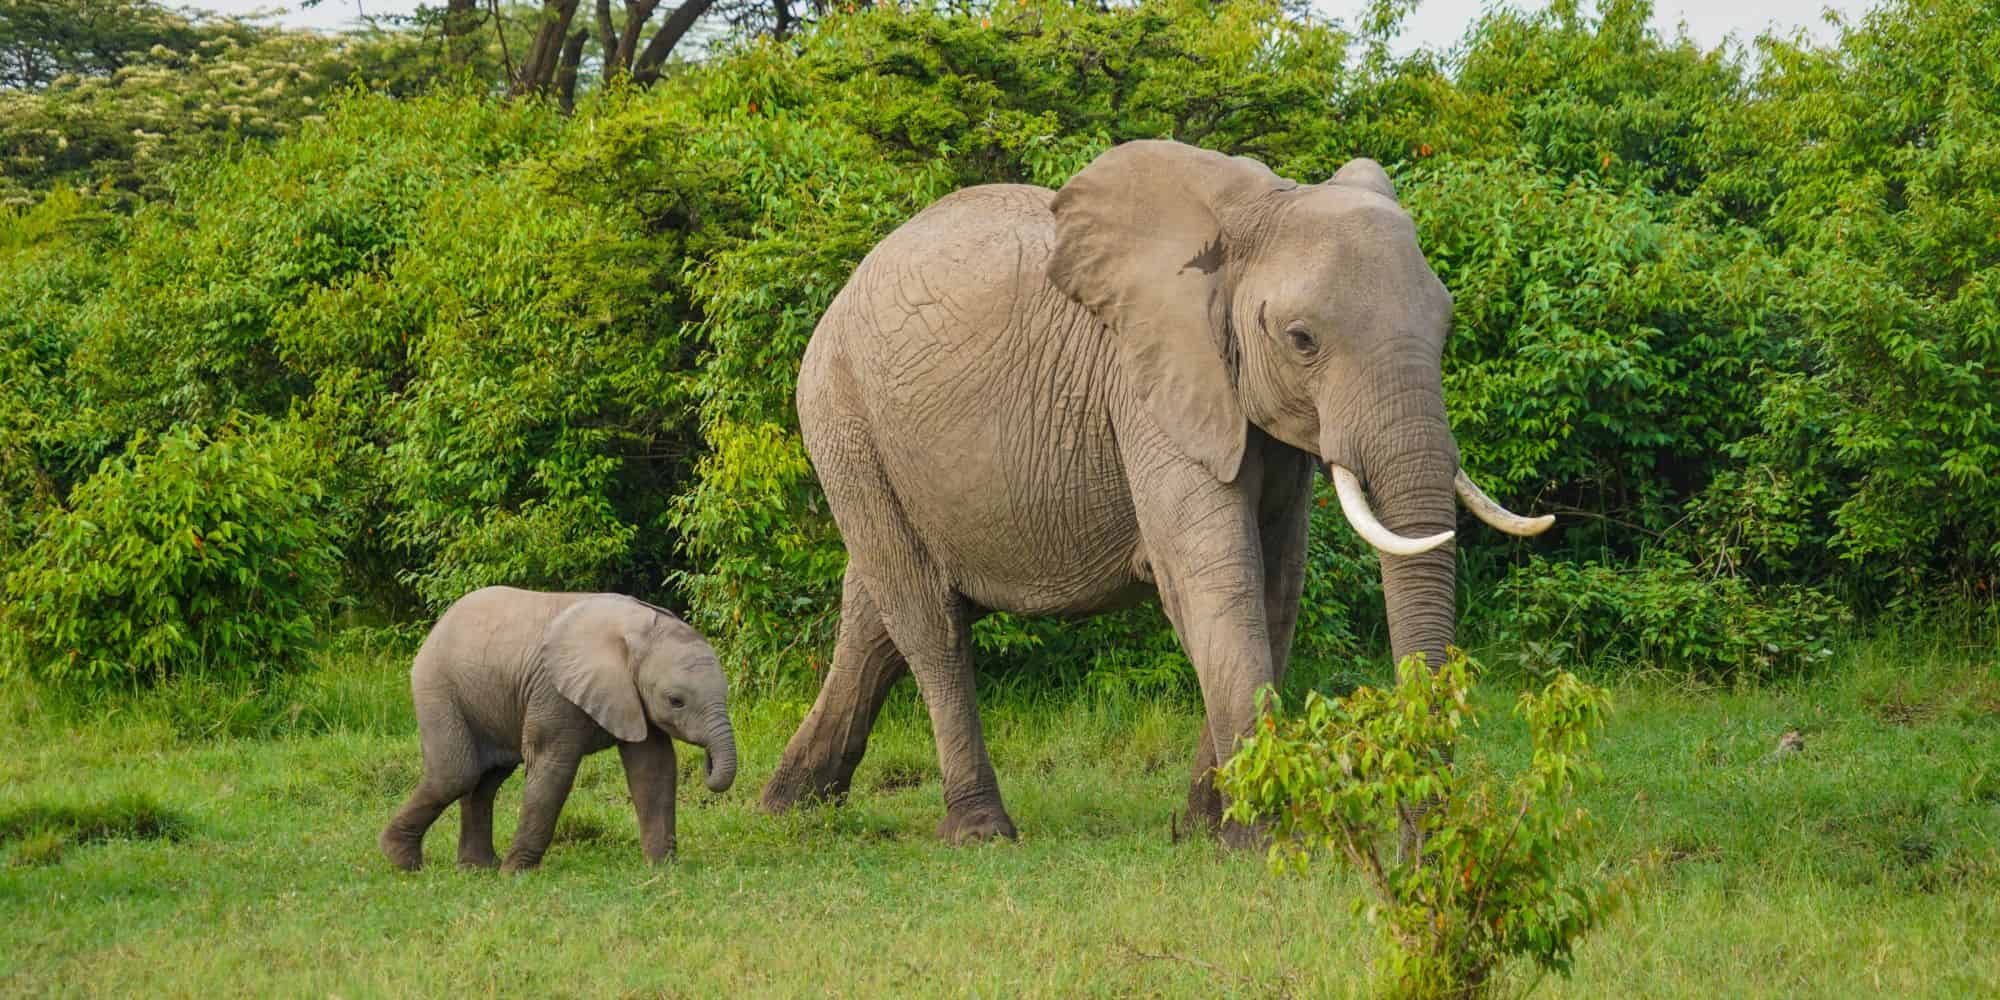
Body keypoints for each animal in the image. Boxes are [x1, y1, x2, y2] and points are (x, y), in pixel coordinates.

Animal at [376, 584, 736, 868]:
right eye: (676, 701)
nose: (708, 761)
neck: (636, 631)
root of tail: (439, 623)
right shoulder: (553, 691)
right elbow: (553, 768)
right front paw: (515, 873)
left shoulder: (632, 698)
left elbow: (654, 769)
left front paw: (663, 869)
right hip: (437, 686)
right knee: (456, 774)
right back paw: (403, 861)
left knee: (486, 779)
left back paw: (478, 868)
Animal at [756, 143, 1552, 844]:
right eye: (1301, 340)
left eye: (1446, 328)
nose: (1422, 841)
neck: (1253, 214)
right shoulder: (1146, 389)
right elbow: (1213, 582)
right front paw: (1258, 837)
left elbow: (1276, 589)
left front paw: (1205, 828)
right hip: (843, 420)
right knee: (928, 622)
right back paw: (978, 832)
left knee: (876, 616)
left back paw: (788, 807)